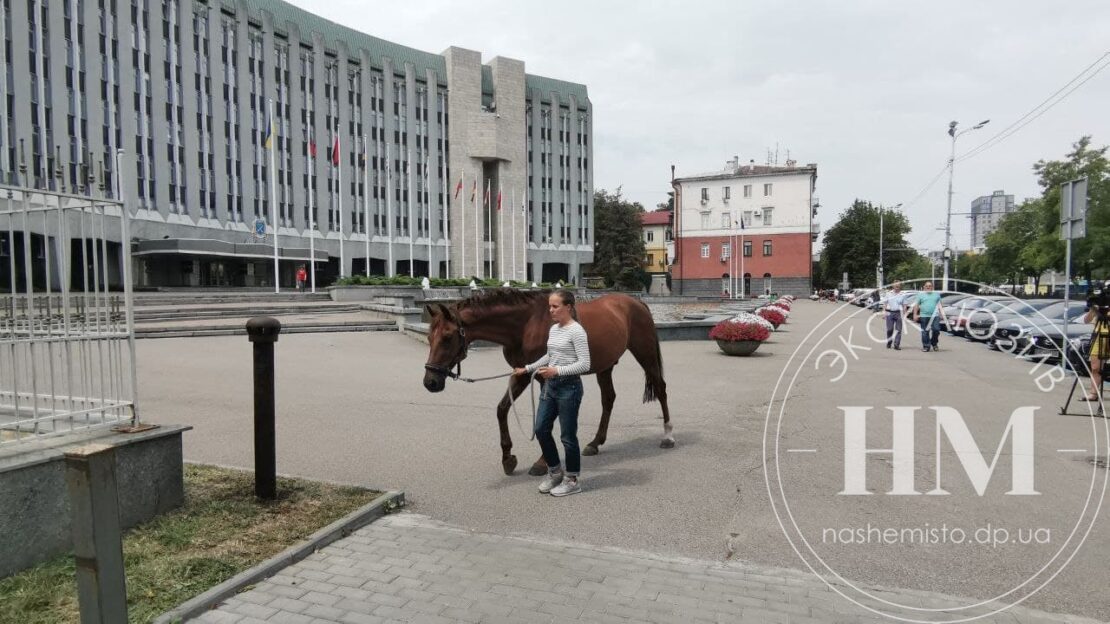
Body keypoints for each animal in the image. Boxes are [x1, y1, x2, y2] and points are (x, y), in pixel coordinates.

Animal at [419, 288, 670, 472]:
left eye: (447, 337)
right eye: (430, 337)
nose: (430, 382)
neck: (525, 325)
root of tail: (637, 303)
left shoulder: (544, 377)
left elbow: (545, 417)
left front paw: (542, 462)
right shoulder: (523, 373)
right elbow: (502, 409)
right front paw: (508, 457)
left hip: (645, 353)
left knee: (660, 388)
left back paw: (668, 436)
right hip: (605, 366)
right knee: (608, 398)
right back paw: (595, 443)